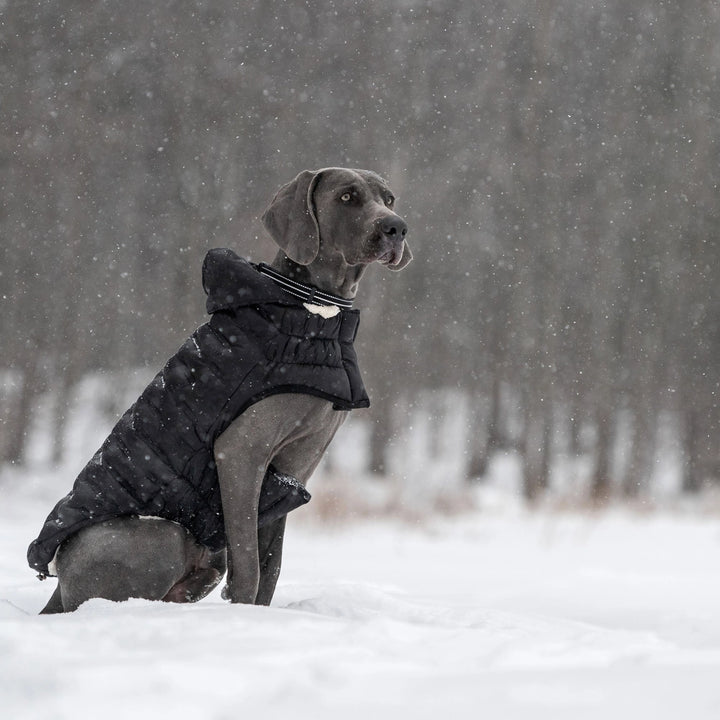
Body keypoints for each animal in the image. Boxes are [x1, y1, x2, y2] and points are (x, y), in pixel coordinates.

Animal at [28, 169, 410, 612]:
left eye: (389, 198)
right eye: (347, 197)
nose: (397, 227)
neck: (315, 311)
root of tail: (57, 585)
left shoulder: (295, 469)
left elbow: (272, 563)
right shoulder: (240, 450)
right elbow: (250, 562)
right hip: (161, 533)